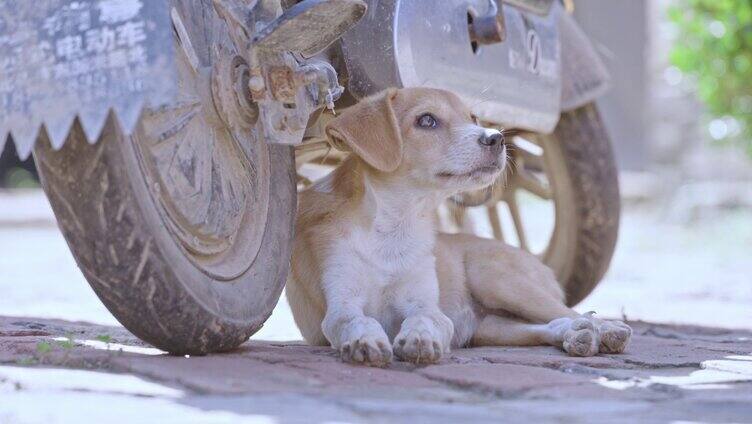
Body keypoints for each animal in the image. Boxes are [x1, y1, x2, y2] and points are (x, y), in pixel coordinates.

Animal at [286, 88, 628, 364]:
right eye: (426, 120)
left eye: (473, 117)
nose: (497, 137)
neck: (394, 226)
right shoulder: (341, 304)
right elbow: (356, 321)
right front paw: (365, 340)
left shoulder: (427, 305)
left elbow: (423, 319)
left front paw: (419, 339)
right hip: (490, 328)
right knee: (549, 325)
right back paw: (576, 335)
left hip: (496, 278)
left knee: (570, 312)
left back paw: (606, 329)